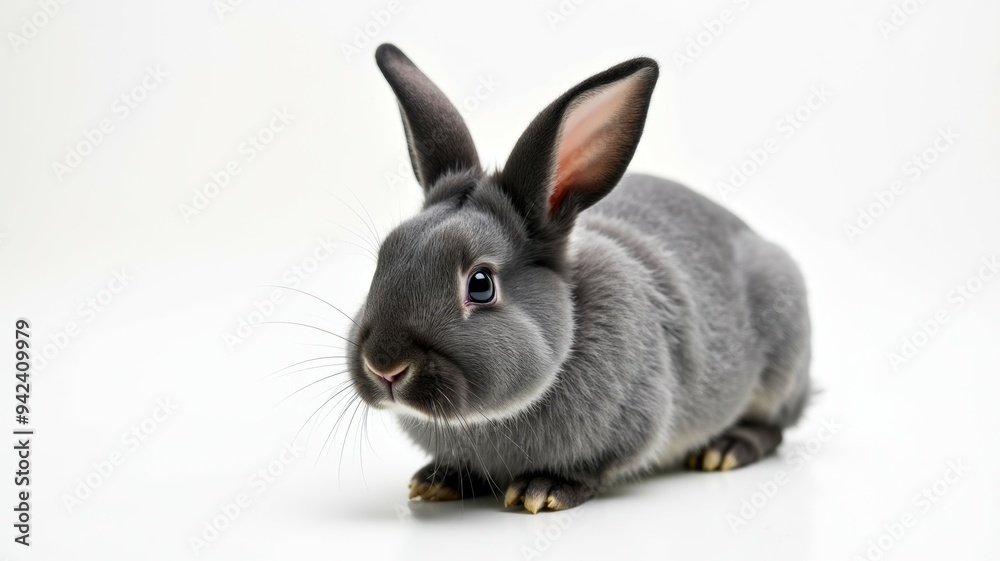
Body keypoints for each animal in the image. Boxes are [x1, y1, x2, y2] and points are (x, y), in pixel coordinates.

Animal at [346, 43, 811, 514]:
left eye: (480, 284)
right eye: (384, 258)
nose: (385, 366)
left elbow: (596, 466)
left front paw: (542, 489)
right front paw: (437, 480)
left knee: (774, 425)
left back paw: (725, 449)